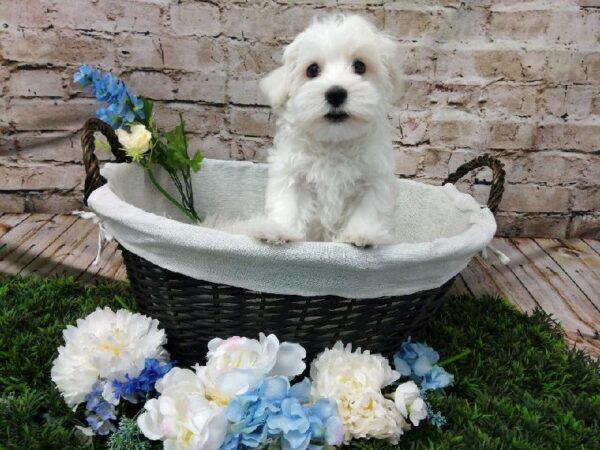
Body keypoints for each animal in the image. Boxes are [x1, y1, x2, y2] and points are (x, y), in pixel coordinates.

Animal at [258, 14, 404, 246]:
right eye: (312, 70)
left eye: (360, 66)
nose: (336, 94)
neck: (334, 142)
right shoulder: (293, 174)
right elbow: (288, 204)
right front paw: (280, 231)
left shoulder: (373, 180)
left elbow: (368, 209)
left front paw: (361, 234)